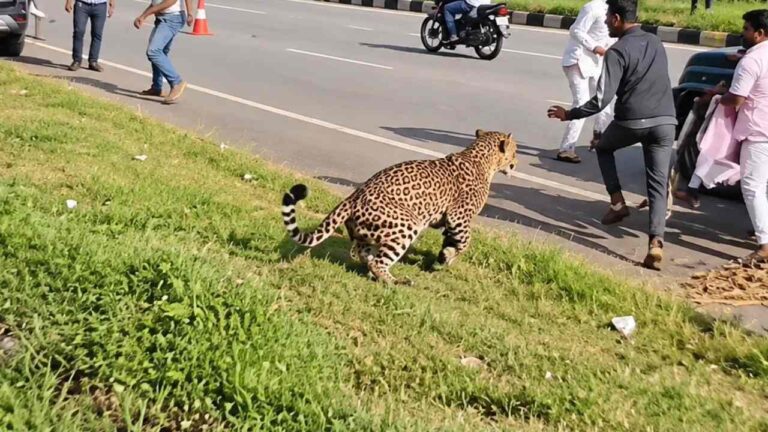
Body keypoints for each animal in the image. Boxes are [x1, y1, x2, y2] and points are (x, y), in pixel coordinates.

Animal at [280, 129, 518, 285]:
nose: (516, 163)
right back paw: (396, 282)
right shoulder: (458, 217)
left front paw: (443, 259)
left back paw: (373, 272)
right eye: (515, 152)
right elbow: (465, 241)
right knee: (378, 262)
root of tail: (353, 196)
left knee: (363, 252)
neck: (482, 158)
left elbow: (451, 242)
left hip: (368, 232)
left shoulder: (451, 222)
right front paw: (449, 256)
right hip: (407, 225)